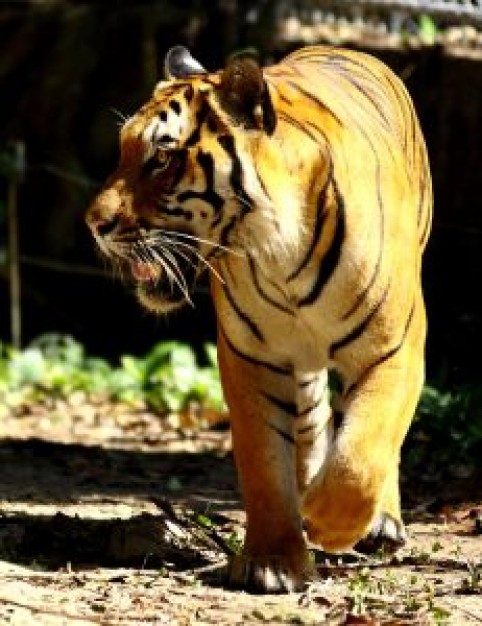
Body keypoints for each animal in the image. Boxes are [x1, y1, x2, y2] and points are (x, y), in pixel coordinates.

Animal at [85, 42, 434, 588]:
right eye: (123, 151)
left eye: (162, 157)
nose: (93, 224)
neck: (278, 255)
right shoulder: (251, 357)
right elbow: (264, 464)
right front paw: (273, 561)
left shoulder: (394, 349)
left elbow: (363, 454)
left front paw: (327, 520)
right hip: (301, 367)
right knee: (312, 425)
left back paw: (378, 522)